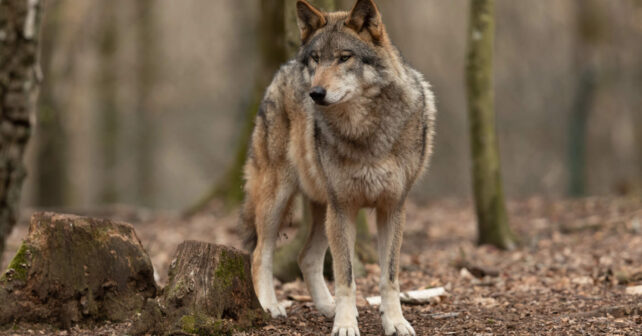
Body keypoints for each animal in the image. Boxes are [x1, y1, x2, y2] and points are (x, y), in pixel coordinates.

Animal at [239, 0, 436, 334]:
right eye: (317, 59)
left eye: (345, 58)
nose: (315, 93)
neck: (365, 131)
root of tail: (285, 66)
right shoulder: (344, 207)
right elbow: (346, 277)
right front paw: (345, 324)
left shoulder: (392, 207)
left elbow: (389, 278)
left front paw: (394, 322)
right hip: (280, 198)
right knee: (259, 254)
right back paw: (270, 306)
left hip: (322, 208)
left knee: (306, 257)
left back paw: (326, 307)